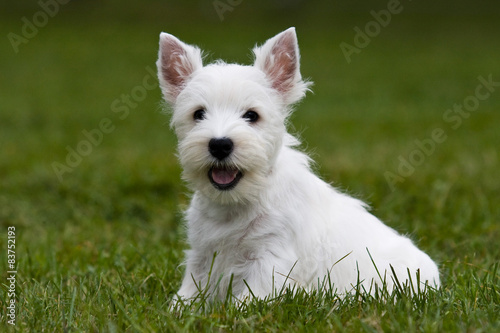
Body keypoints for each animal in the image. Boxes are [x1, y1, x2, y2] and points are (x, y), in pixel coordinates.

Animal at [157, 27, 442, 300]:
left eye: (252, 115)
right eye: (198, 114)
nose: (219, 145)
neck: (235, 204)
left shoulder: (270, 259)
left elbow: (248, 301)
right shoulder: (202, 256)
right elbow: (188, 294)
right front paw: (180, 308)